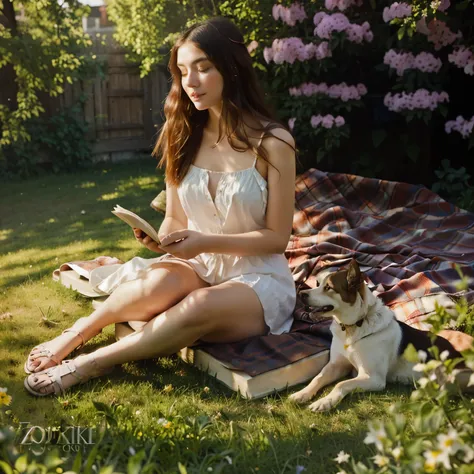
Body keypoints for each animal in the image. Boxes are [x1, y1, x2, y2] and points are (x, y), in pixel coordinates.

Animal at [286, 260, 472, 412]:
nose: (301, 294)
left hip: (451, 376)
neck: (353, 327)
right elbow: (317, 378)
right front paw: (302, 394)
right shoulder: (336, 365)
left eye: (328, 287)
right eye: (318, 283)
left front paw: (324, 402)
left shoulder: (373, 378)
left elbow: (341, 384)